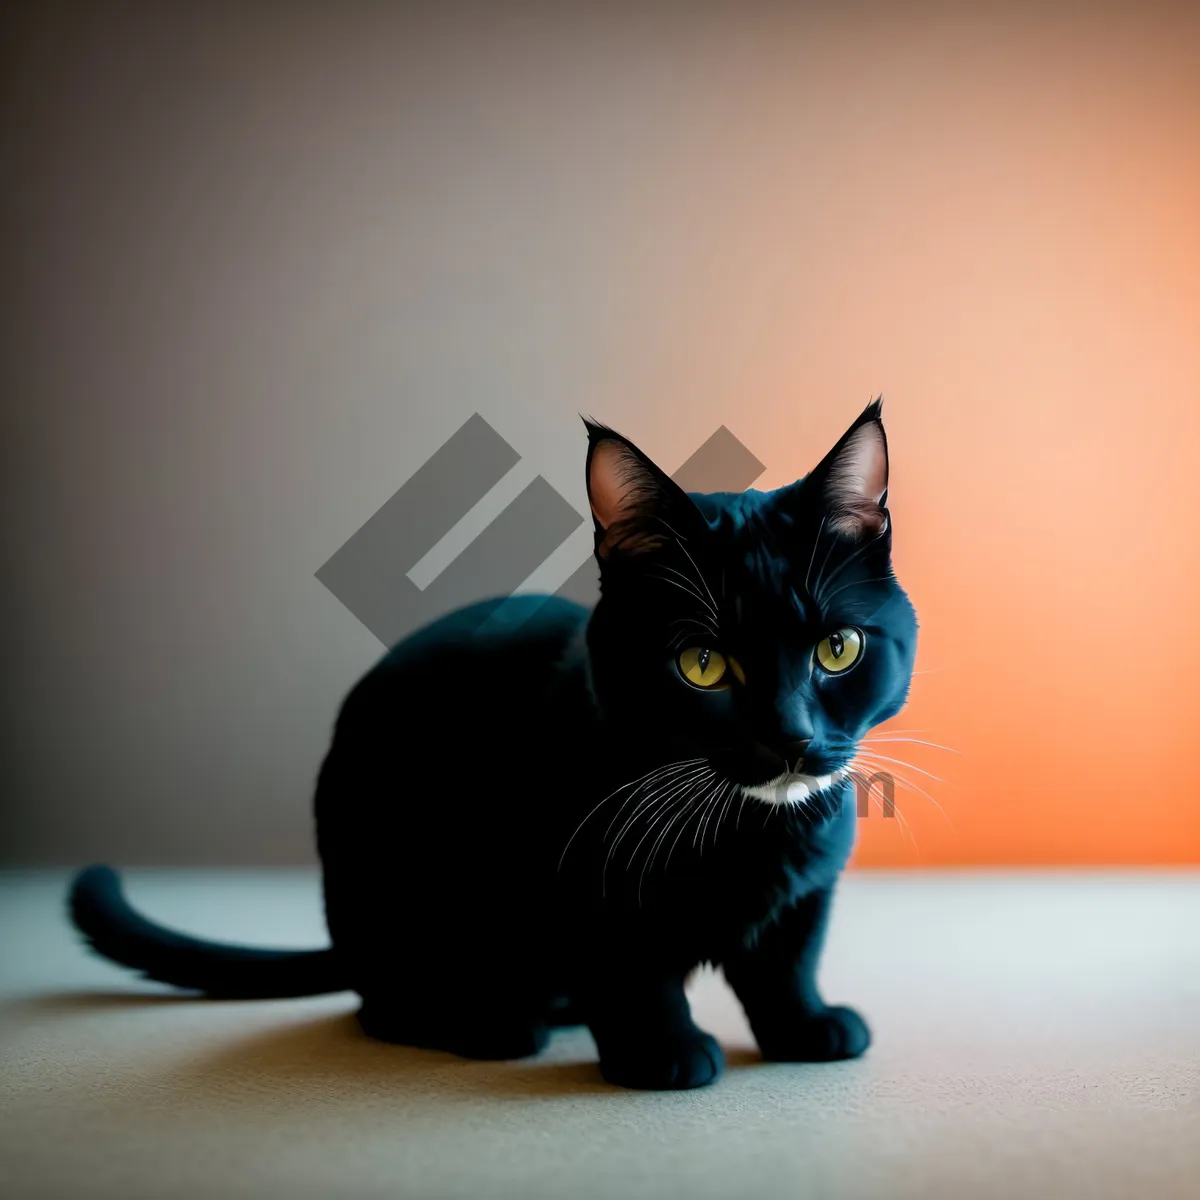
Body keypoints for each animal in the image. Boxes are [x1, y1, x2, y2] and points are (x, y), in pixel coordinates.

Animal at [68, 400, 916, 1089]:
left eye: (838, 649)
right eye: (702, 665)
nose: (791, 736)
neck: (744, 825)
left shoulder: (806, 890)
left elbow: (787, 961)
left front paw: (805, 1028)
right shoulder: (578, 879)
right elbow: (630, 968)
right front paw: (660, 1053)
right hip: (394, 884)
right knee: (383, 1003)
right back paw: (495, 1021)